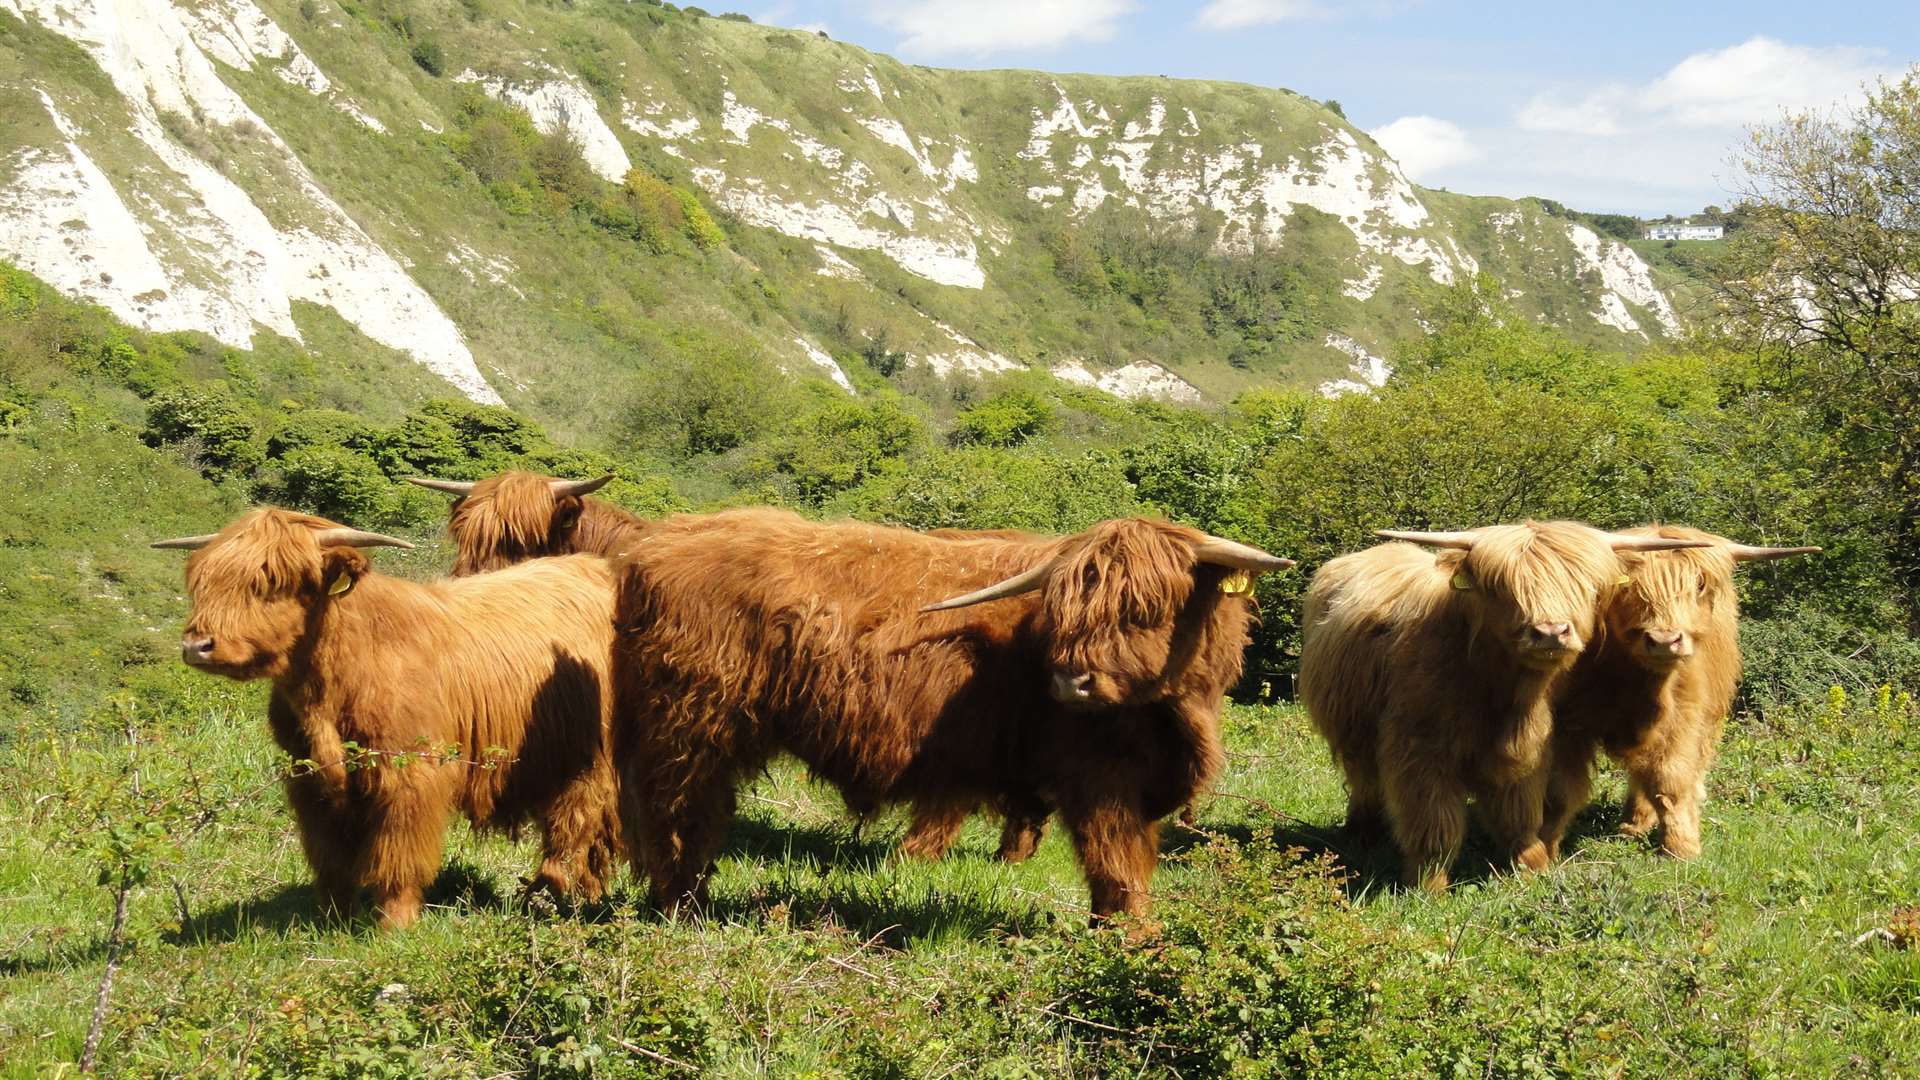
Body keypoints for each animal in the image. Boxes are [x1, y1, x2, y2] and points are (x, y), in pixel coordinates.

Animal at [159, 507, 622, 922]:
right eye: (202, 583)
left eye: (273, 582)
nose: (197, 645)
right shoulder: (308, 781)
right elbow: (331, 861)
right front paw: (334, 920)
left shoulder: (408, 772)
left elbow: (398, 855)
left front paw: (394, 924)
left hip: (590, 759)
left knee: (578, 823)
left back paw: (557, 891)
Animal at [602, 503, 1290, 914]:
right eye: (1063, 609)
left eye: (1147, 606)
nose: (1070, 683)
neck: (1177, 713)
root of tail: (653, 546)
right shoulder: (1102, 780)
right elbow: (1116, 868)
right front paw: (1130, 943)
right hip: (690, 726)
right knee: (680, 814)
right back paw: (681, 905)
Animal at [1297, 518, 1720, 883]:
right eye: (1503, 588)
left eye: (1584, 586)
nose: (1550, 632)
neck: (1497, 688)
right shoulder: (1420, 749)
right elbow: (1435, 826)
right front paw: (1427, 886)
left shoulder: (1528, 750)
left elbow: (1520, 814)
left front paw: (1531, 867)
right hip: (1353, 733)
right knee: (1364, 779)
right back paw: (1363, 831)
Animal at [1536, 522, 1820, 857]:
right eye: (1630, 587)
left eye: (1699, 584)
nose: (1663, 641)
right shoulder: (1569, 719)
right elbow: (1560, 790)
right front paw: (1540, 847)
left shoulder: (1684, 716)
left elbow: (1670, 778)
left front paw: (1681, 846)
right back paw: (1632, 824)